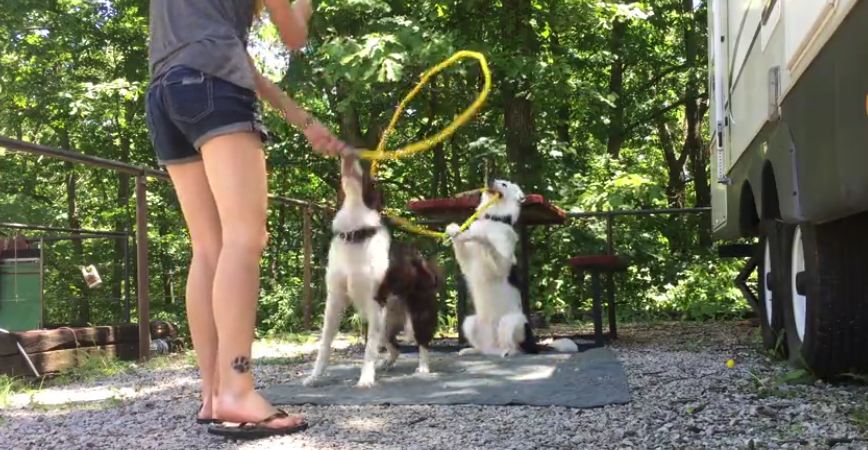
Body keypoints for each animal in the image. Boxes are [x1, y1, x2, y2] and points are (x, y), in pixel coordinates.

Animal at [306, 156, 440, 386]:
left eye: (370, 177)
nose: (348, 155)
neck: (355, 233)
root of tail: (423, 260)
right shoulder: (335, 300)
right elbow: (324, 343)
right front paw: (315, 377)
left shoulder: (374, 299)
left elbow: (369, 347)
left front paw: (365, 379)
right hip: (385, 319)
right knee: (394, 347)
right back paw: (384, 364)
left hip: (417, 312)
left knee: (422, 342)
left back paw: (422, 368)